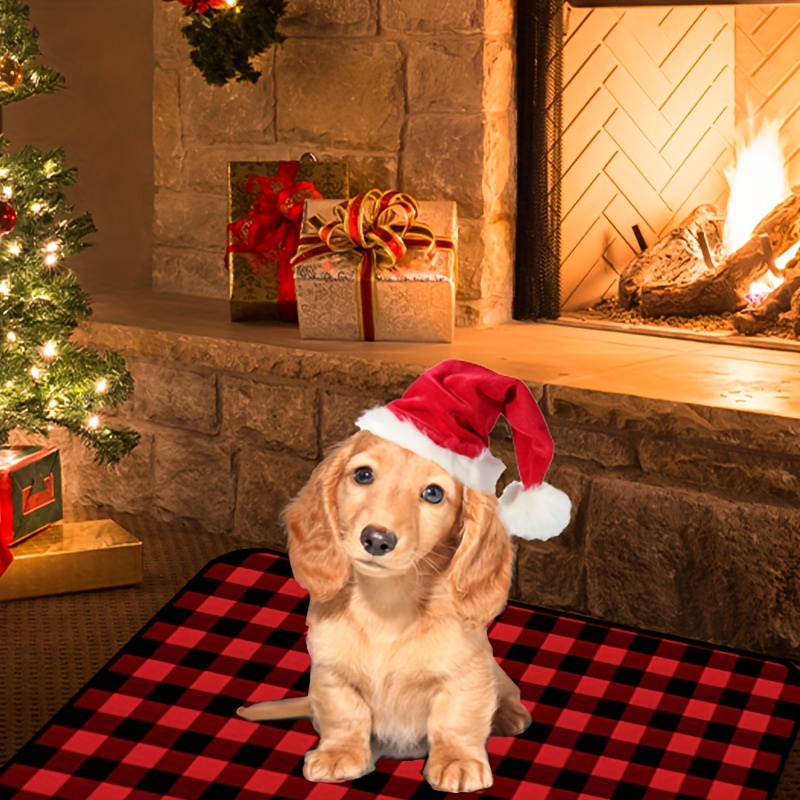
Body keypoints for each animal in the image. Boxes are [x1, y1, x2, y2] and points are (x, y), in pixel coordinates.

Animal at [241, 432, 536, 792]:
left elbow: (456, 718)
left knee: (507, 690)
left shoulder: (466, 673)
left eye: (433, 493)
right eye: (363, 474)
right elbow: (345, 712)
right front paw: (340, 753)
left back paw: (510, 715)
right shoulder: (330, 670)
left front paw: (458, 761)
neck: (387, 605)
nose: (376, 539)